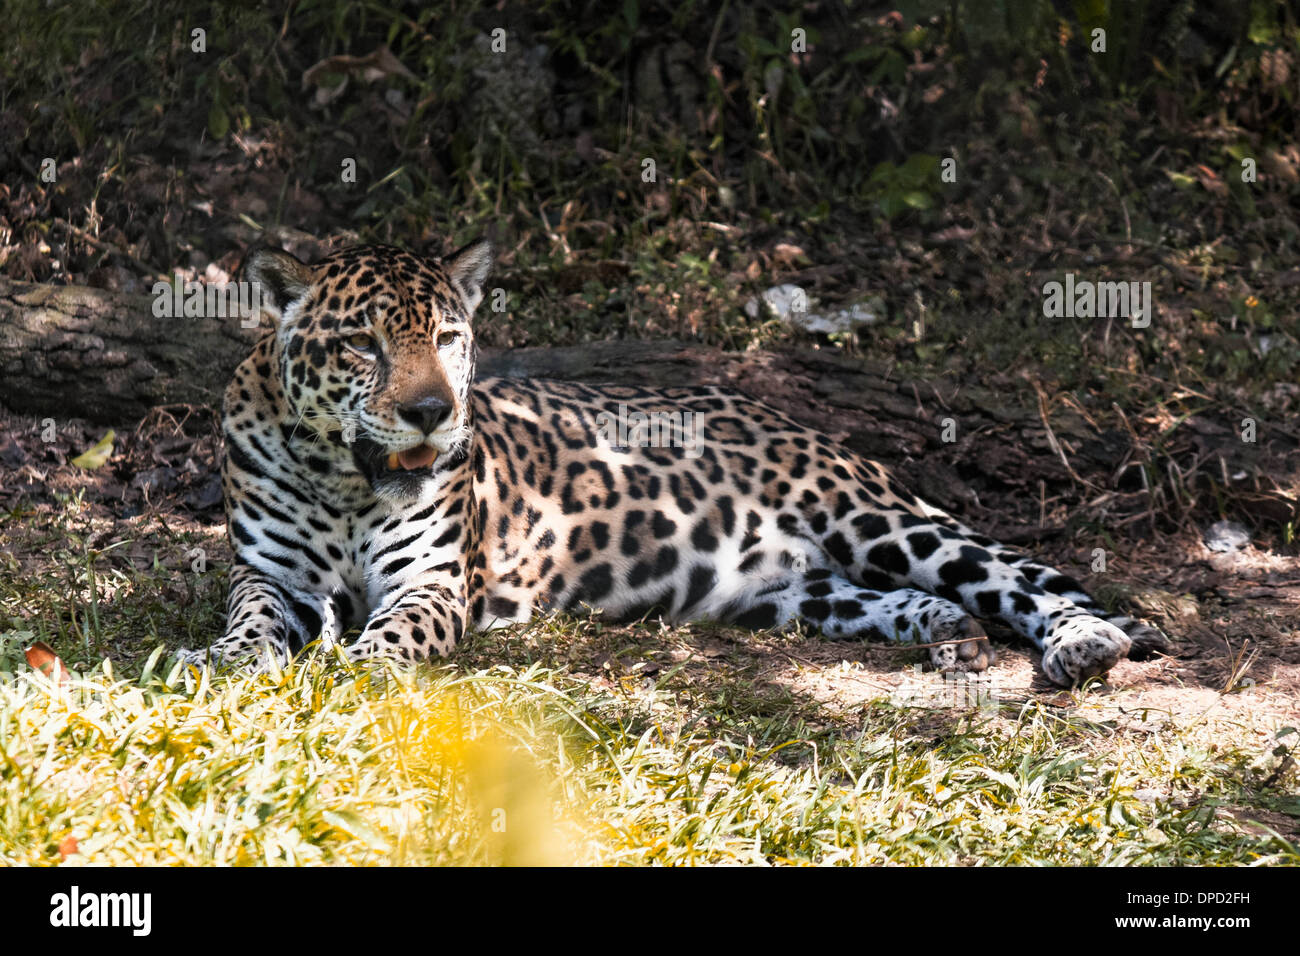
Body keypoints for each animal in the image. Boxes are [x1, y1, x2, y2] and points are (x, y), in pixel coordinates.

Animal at [180, 237, 1170, 687]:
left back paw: (1082, 641)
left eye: (451, 339)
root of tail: (782, 411)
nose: (433, 412)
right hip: (796, 591)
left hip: (878, 520)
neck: (345, 483)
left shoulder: (430, 582)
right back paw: (938, 624)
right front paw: (218, 660)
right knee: (883, 596)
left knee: (1022, 577)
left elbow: (393, 635)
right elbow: (251, 617)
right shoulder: (271, 575)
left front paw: (357, 668)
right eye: (362, 345)